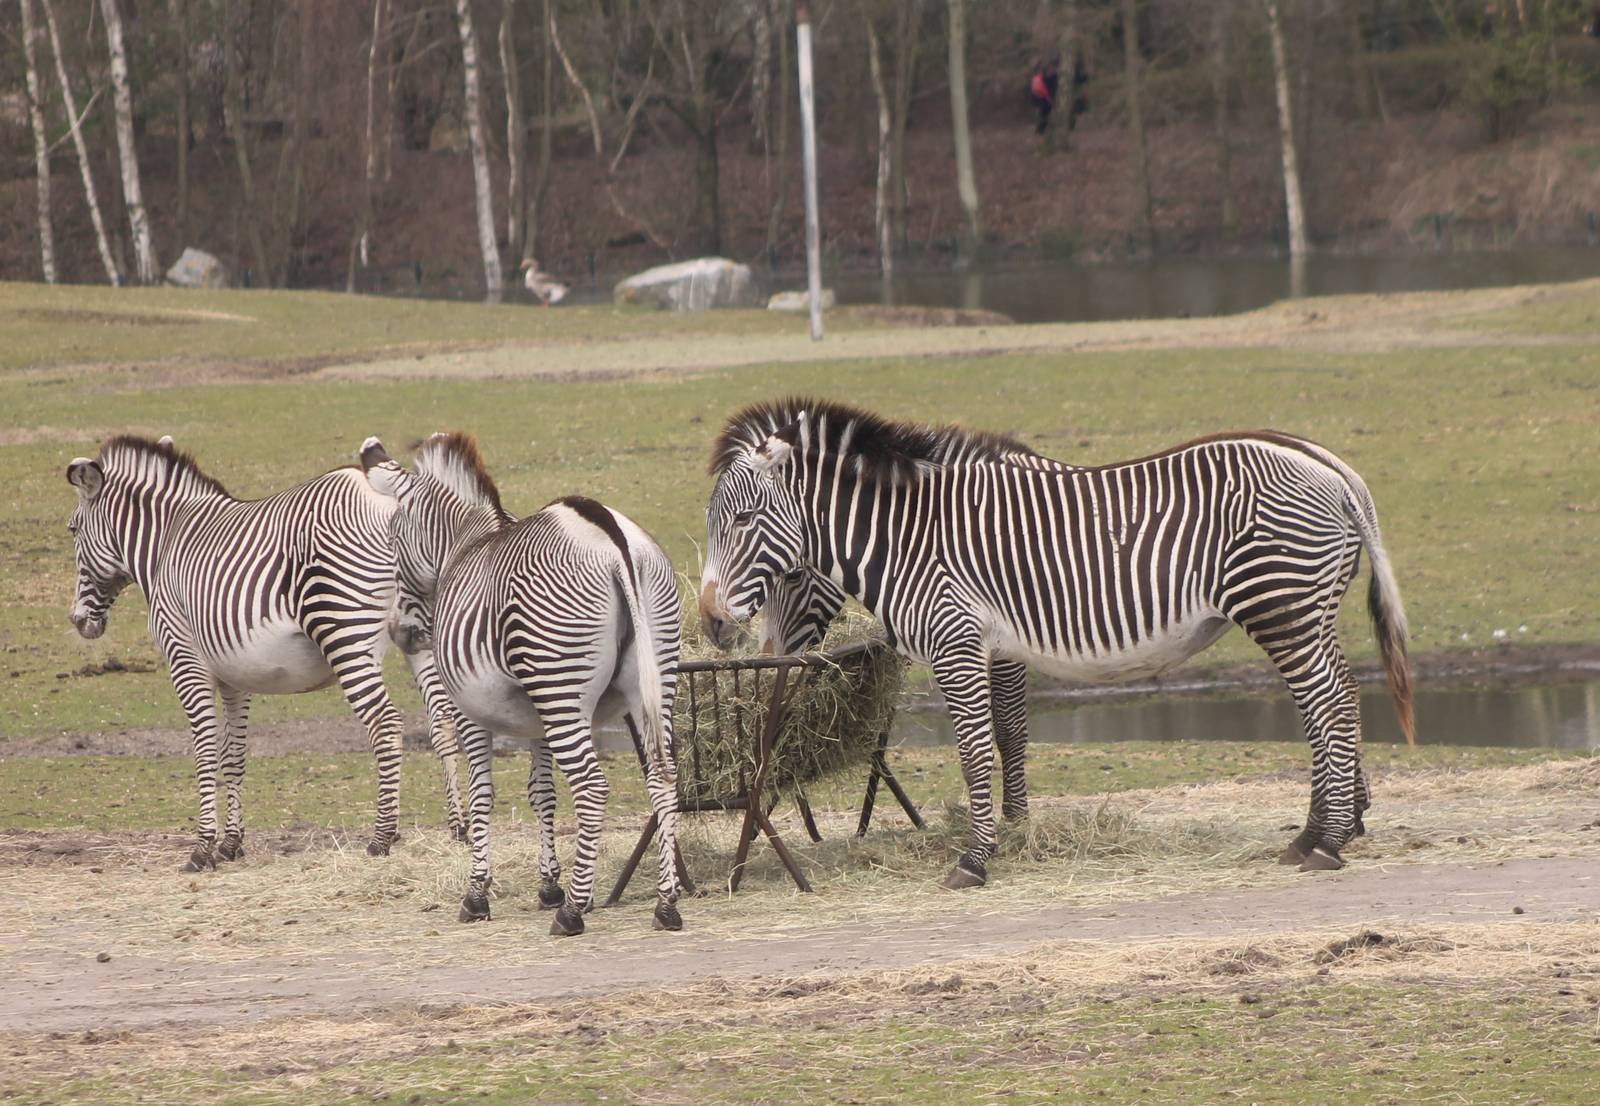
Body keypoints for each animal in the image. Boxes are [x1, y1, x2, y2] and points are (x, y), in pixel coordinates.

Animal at [64, 436, 467, 870]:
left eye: (73, 529)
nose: (79, 620)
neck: (167, 543)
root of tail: (388, 499)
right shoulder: (235, 675)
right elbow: (235, 755)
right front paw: (231, 844)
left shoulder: (185, 659)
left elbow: (205, 750)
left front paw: (202, 849)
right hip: (416, 633)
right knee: (442, 721)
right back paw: (458, 828)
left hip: (345, 634)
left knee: (387, 724)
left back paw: (382, 837)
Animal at [359, 432, 684, 936]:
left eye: (393, 541)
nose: (400, 633)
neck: (466, 542)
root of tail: (614, 541)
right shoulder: (536, 719)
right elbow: (542, 794)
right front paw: (550, 886)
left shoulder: (470, 711)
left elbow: (483, 795)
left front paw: (478, 895)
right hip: (652, 680)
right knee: (663, 777)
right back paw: (666, 905)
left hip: (562, 687)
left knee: (592, 787)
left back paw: (573, 915)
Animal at [698, 399, 1414, 888]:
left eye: (745, 520)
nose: (713, 624)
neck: (911, 537)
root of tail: (1331, 470)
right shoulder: (997, 645)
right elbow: (1006, 735)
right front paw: (1012, 832)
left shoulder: (963, 641)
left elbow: (984, 746)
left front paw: (979, 855)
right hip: (1307, 609)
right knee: (1339, 699)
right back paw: (1325, 828)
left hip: (1281, 606)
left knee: (1330, 704)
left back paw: (1327, 840)